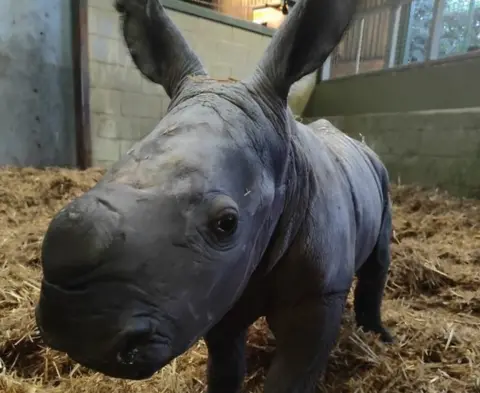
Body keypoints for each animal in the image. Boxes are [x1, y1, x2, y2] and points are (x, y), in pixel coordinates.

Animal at [33, 0, 394, 392]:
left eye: (226, 224)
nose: (78, 331)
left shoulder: (319, 294)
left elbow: (291, 376)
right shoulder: (215, 289)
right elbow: (224, 366)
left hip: (381, 174)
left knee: (379, 258)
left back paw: (378, 335)